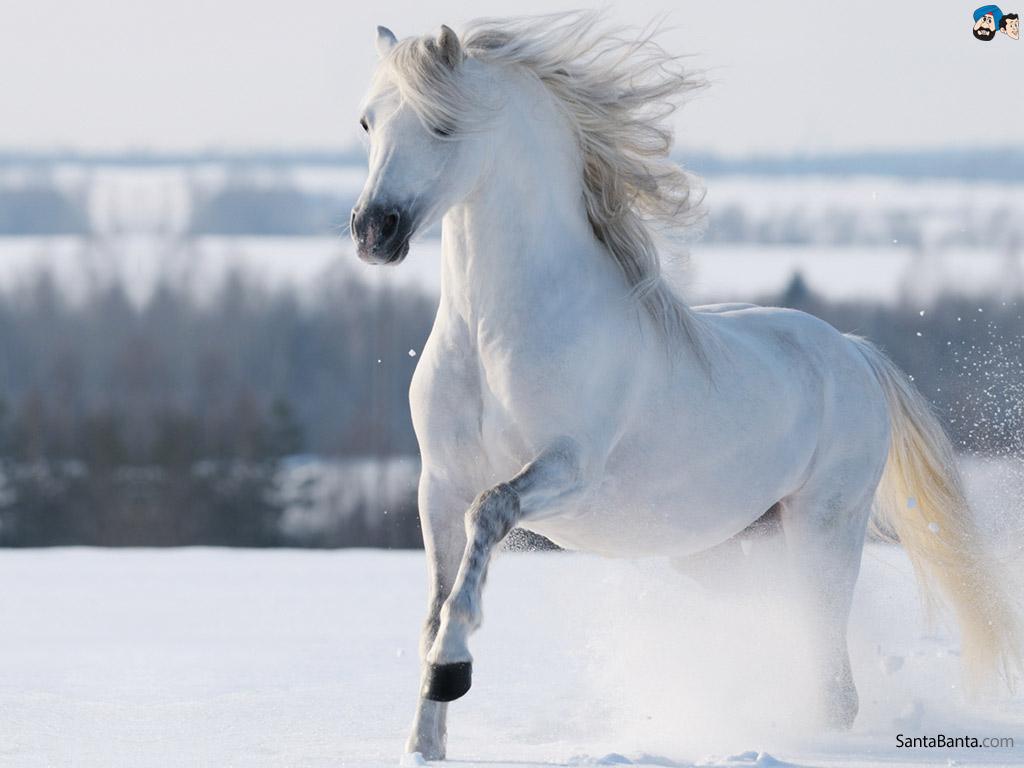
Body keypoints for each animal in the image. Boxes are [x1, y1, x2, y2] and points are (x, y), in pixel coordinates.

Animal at [349, 13, 1021, 762]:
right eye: (368, 122)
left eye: (442, 126)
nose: (373, 231)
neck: (492, 332)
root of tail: (851, 350)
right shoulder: (437, 483)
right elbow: (435, 603)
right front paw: (423, 741)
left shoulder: (568, 470)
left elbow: (487, 520)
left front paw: (452, 671)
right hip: (725, 550)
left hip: (824, 527)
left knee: (834, 681)